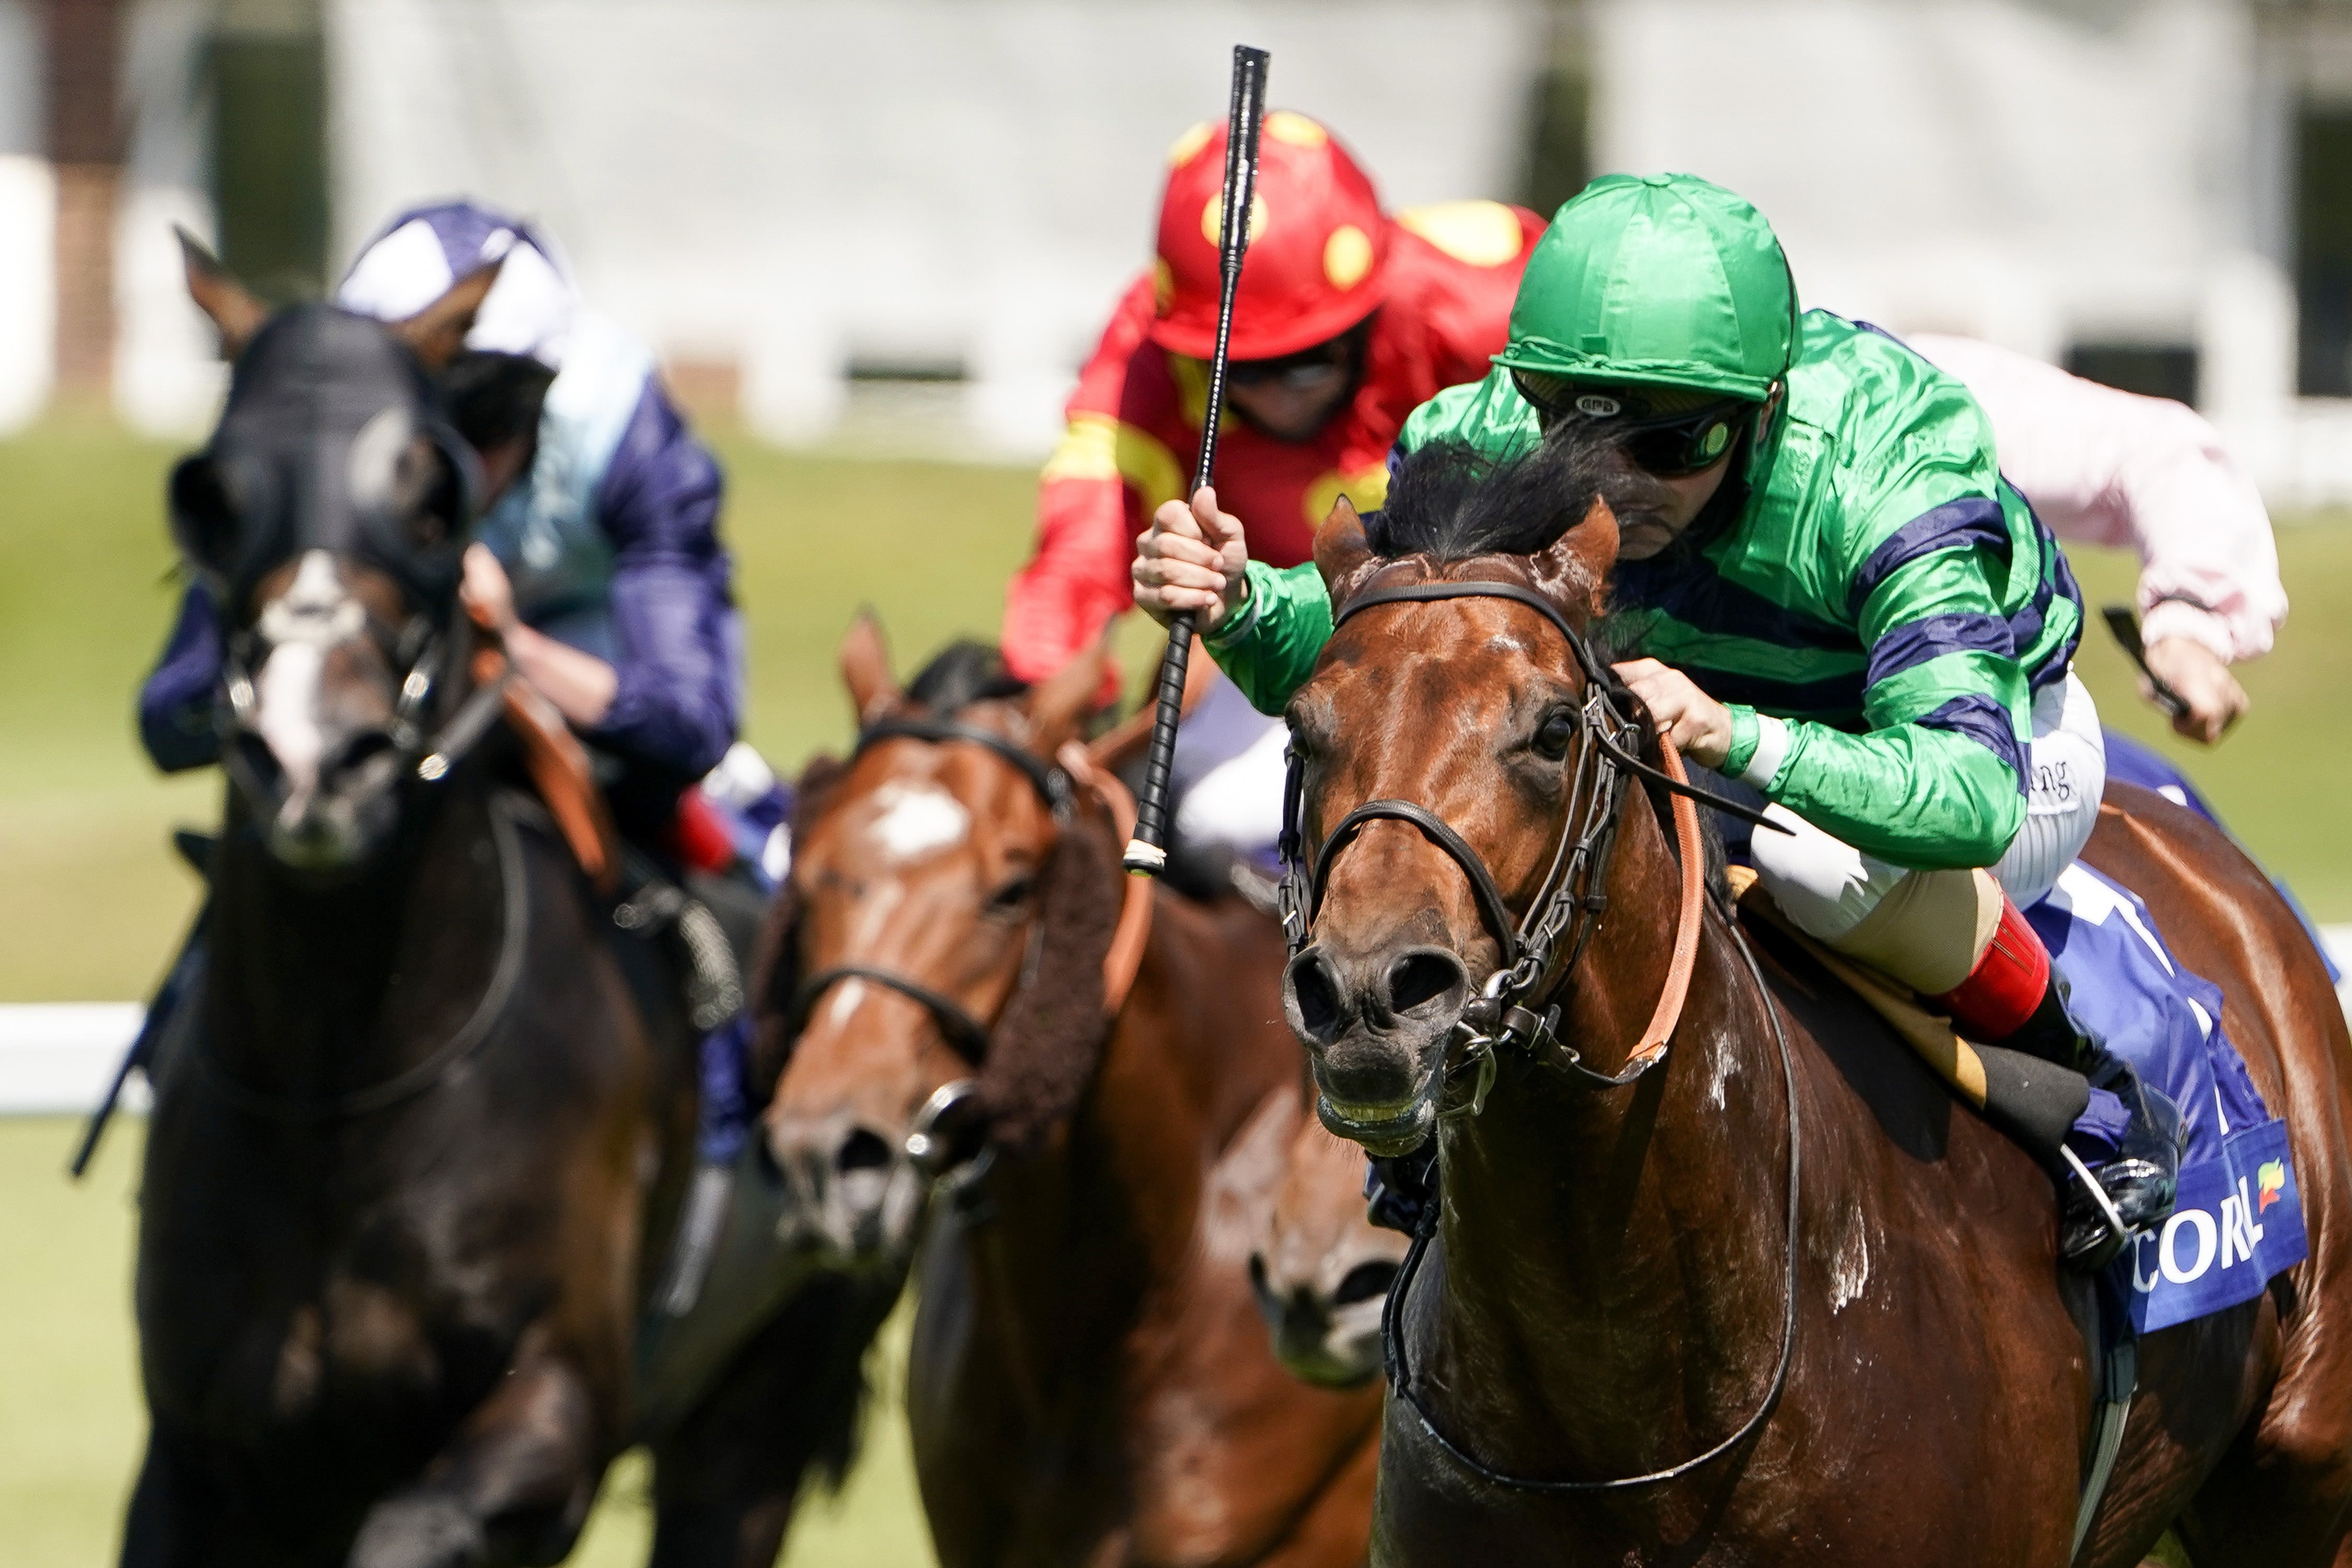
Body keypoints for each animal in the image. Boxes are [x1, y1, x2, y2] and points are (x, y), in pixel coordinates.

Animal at [135, 246, 889, 1568]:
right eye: (212, 499)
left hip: (765, 1393)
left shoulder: (552, 1413)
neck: (342, 1090)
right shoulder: (200, 1456)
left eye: (433, 502)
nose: (315, 758)